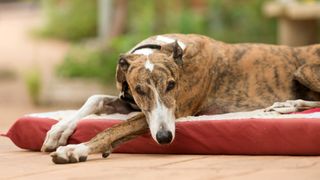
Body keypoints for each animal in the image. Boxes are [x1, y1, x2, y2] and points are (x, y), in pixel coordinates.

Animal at [40, 33, 320, 164]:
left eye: (172, 85)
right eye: (139, 89)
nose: (165, 138)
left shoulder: (176, 110)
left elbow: (112, 130)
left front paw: (75, 149)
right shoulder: (133, 103)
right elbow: (94, 98)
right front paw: (59, 129)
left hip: (305, 68)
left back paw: (289, 104)